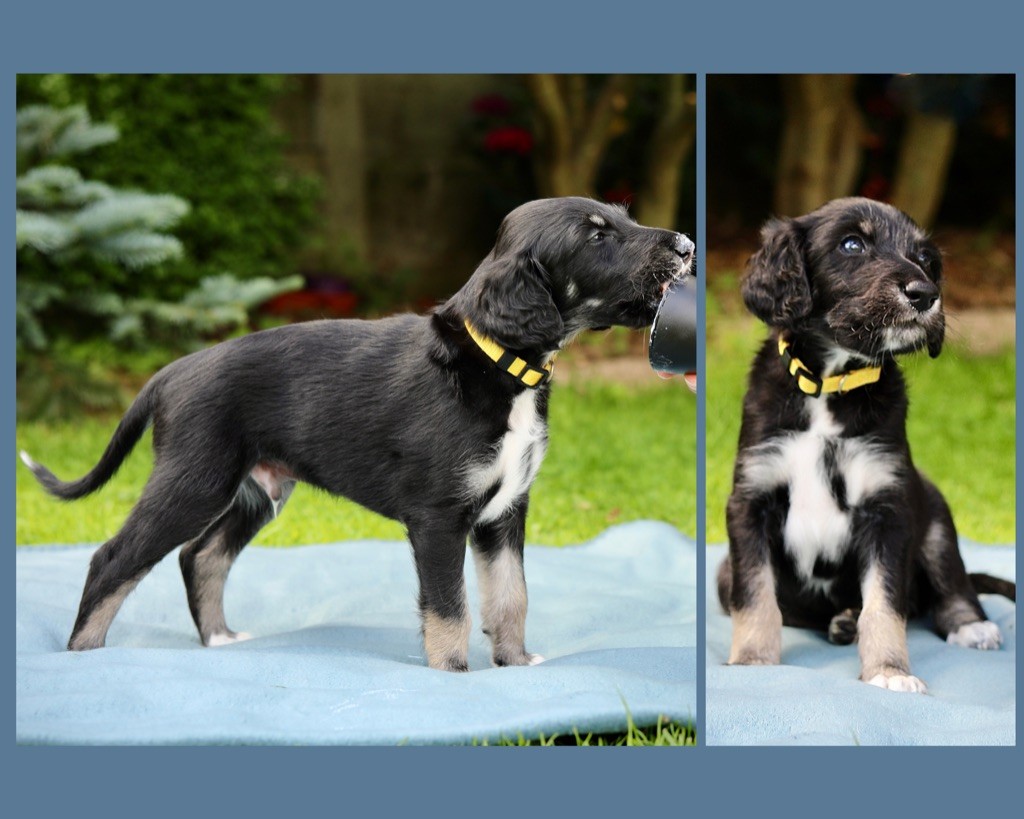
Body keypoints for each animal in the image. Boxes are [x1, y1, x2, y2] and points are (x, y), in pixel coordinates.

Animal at [22, 196, 694, 672]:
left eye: (623, 217)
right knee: (115, 558)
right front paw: (454, 674)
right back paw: (83, 655)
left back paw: (218, 639)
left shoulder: (506, 510)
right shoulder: (438, 516)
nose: (687, 246)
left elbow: (511, 595)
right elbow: (448, 608)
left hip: (258, 488)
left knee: (201, 554)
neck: (498, 364)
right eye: (597, 236)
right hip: (195, 480)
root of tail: (170, 371)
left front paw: (517, 662)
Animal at [717, 197, 1014, 693]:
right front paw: (754, 662)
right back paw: (839, 621)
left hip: (934, 513)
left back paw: (970, 625)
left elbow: (885, 605)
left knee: (952, 582)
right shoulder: (751, 499)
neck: (831, 385)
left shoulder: (887, 506)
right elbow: (756, 596)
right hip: (723, 571)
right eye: (852, 244)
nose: (924, 293)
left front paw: (890, 672)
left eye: (925, 258)